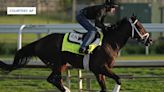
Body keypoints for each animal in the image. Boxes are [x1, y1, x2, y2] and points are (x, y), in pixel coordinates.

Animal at [0, 15, 152, 91]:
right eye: (139, 26)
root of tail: (39, 42)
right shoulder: (100, 67)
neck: (109, 42)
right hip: (56, 63)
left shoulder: (98, 71)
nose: (150, 40)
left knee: (54, 79)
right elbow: (118, 79)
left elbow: (104, 88)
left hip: (61, 64)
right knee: (54, 79)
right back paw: (67, 90)